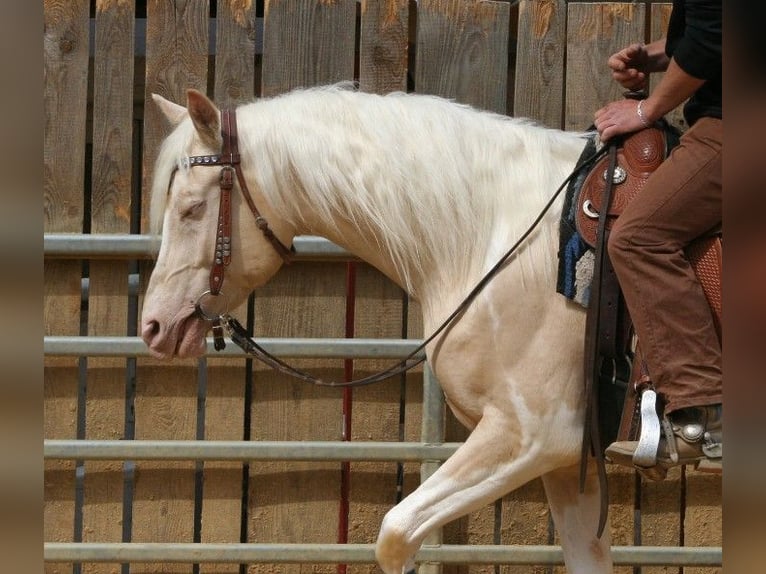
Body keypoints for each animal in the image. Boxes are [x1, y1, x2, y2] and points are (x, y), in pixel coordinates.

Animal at [141, 85, 616, 574]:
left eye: (192, 208)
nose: (153, 325)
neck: (497, 240)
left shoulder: (533, 435)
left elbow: (396, 532)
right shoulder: (568, 466)